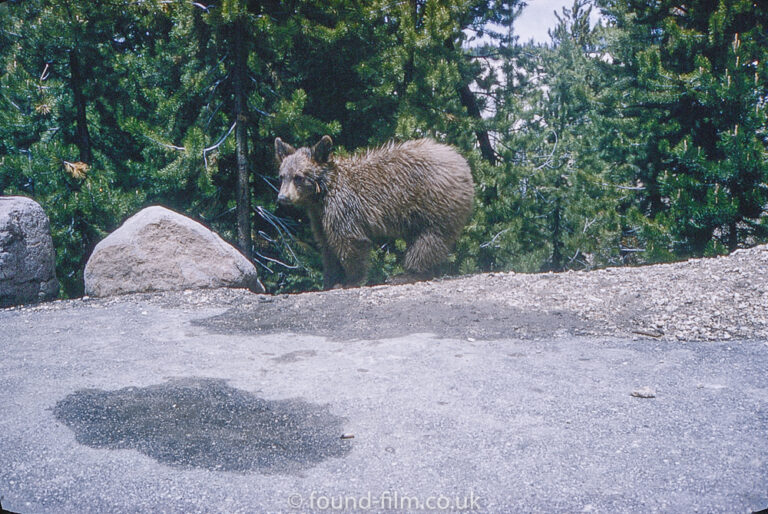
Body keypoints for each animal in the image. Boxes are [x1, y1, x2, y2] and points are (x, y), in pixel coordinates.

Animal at [272, 135, 472, 288]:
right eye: (282, 176)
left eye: (298, 177)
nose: (282, 197)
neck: (322, 192)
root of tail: (462, 164)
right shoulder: (318, 215)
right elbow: (326, 246)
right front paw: (329, 280)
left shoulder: (342, 206)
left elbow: (348, 240)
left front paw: (350, 280)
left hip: (434, 202)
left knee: (428, 240)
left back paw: (407, 274)